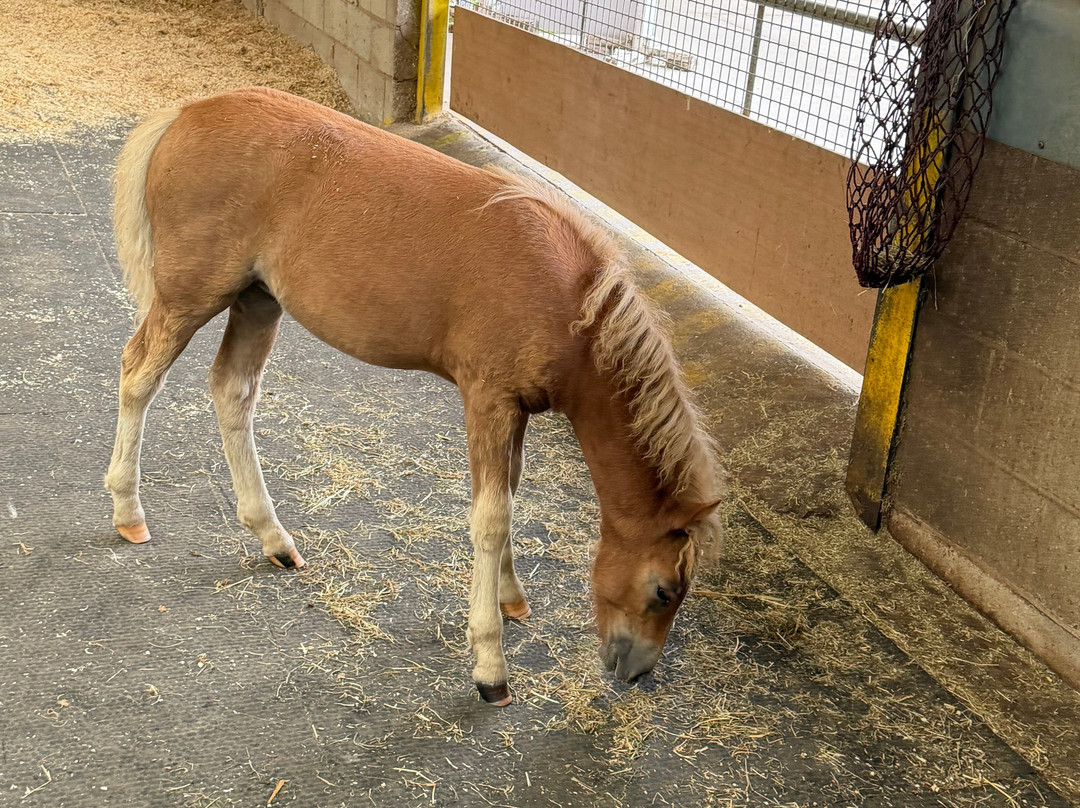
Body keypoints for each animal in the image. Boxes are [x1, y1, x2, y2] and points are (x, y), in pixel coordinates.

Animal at [105, 87, 723, 706]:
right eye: (664, 591)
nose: (635, 671)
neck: (563, 298)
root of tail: (188, 113)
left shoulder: (516, 411)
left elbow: (509, 496)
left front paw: (510, 597)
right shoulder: (488, 400)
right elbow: (491, 517)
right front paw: (490, 664)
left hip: (257, 300)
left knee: (232, 390)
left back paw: (272, 536)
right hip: (191, 297)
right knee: (138, 375)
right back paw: (128, 509)